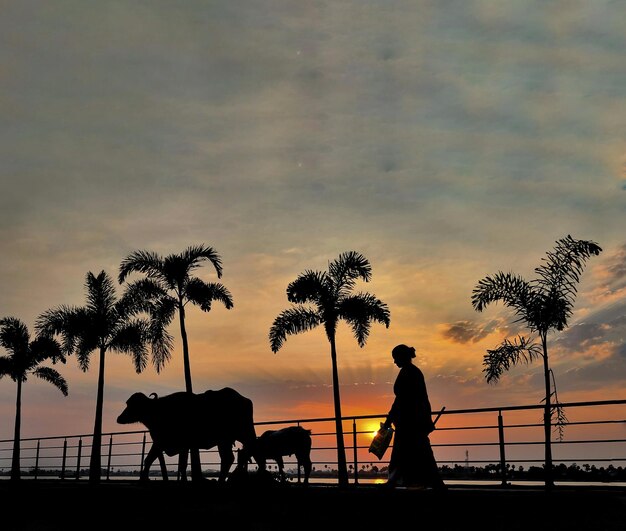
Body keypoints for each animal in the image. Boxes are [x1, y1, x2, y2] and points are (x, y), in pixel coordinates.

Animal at [116, 388, 255, 484]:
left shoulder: (170, 444)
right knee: (230, 457)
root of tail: (245, 400)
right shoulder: (163, 444)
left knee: (237, 454)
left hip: (238, 435)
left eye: (133, 405)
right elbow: (150, 460)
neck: (159, 411)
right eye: (128, 403)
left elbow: (180, 464)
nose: (119, 418)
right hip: (226, 441)